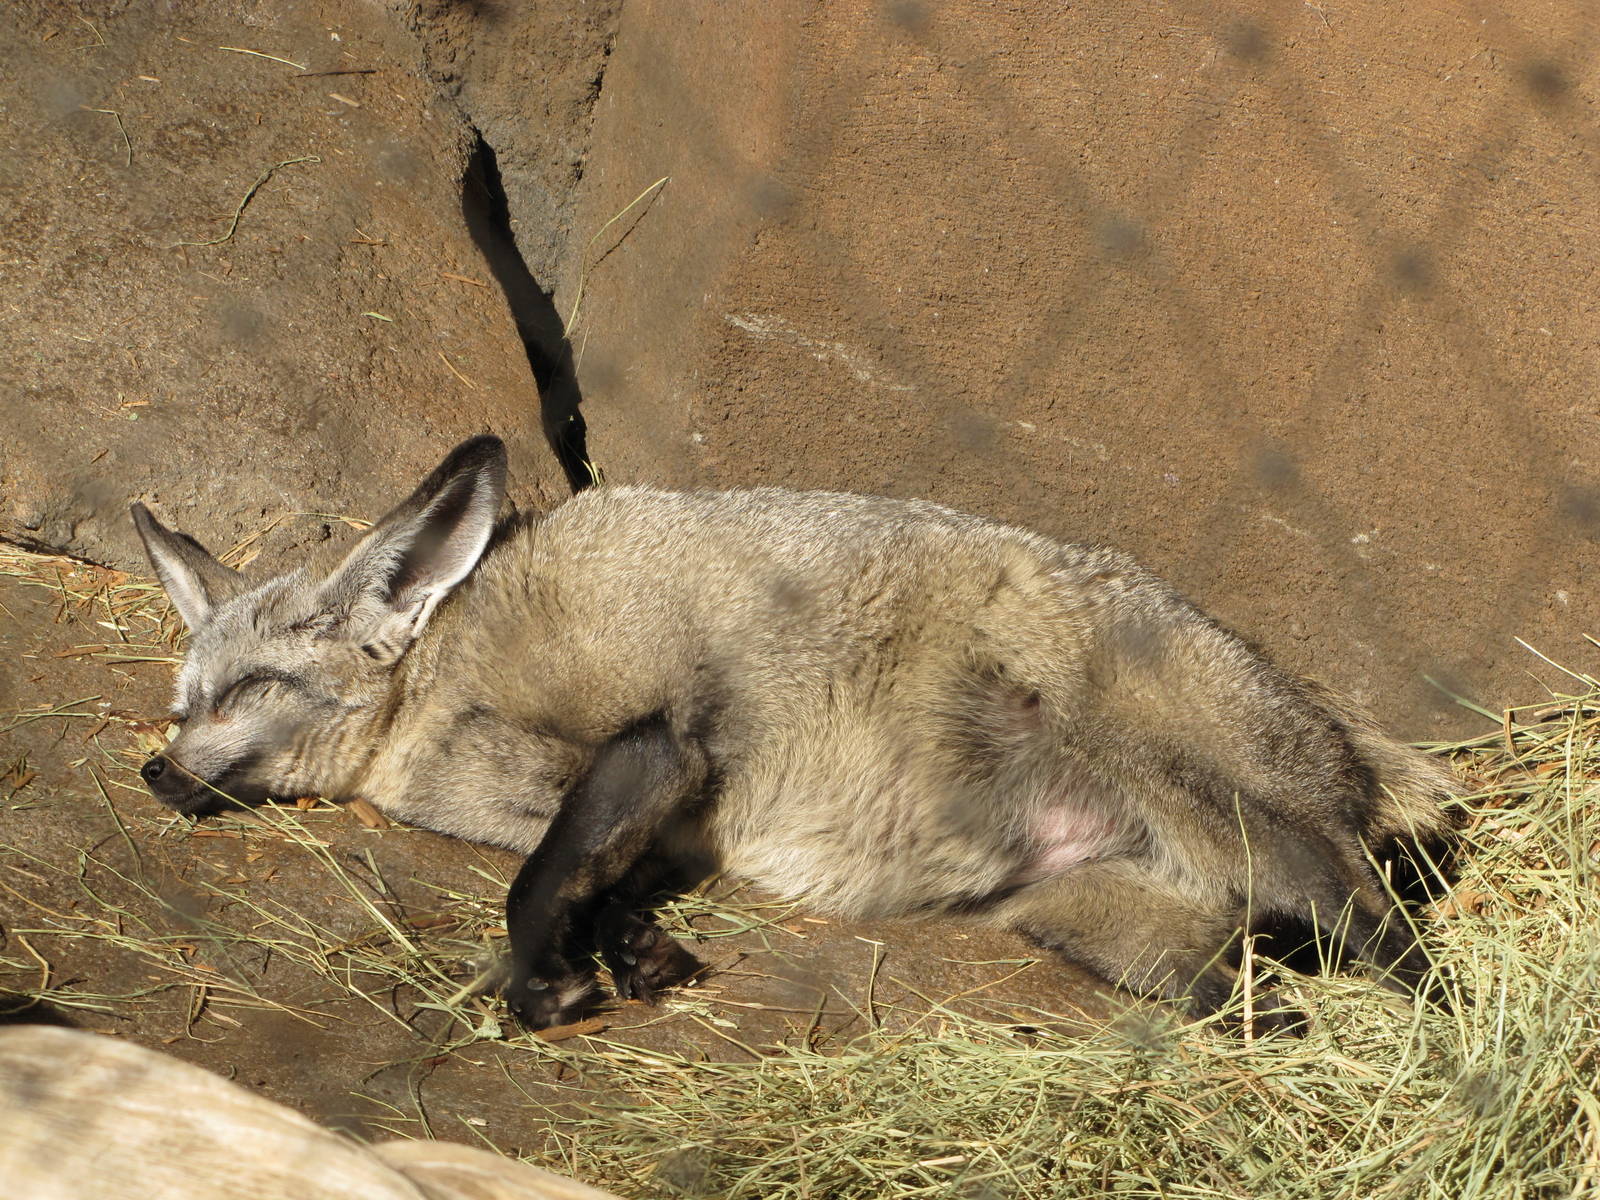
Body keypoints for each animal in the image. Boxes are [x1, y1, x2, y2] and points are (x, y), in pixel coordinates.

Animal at [130, 435, 1457, 1031]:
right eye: (185, 702)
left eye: (245, 688)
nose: (152, 768)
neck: (442, 685)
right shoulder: (653, 813)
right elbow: (587, 884)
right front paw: (630, 957)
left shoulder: (657, 738)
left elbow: (533, 884)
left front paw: (546, 983)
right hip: (1121, 935)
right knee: (1273, 999)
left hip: (1236, 818)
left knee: (1393, 937)